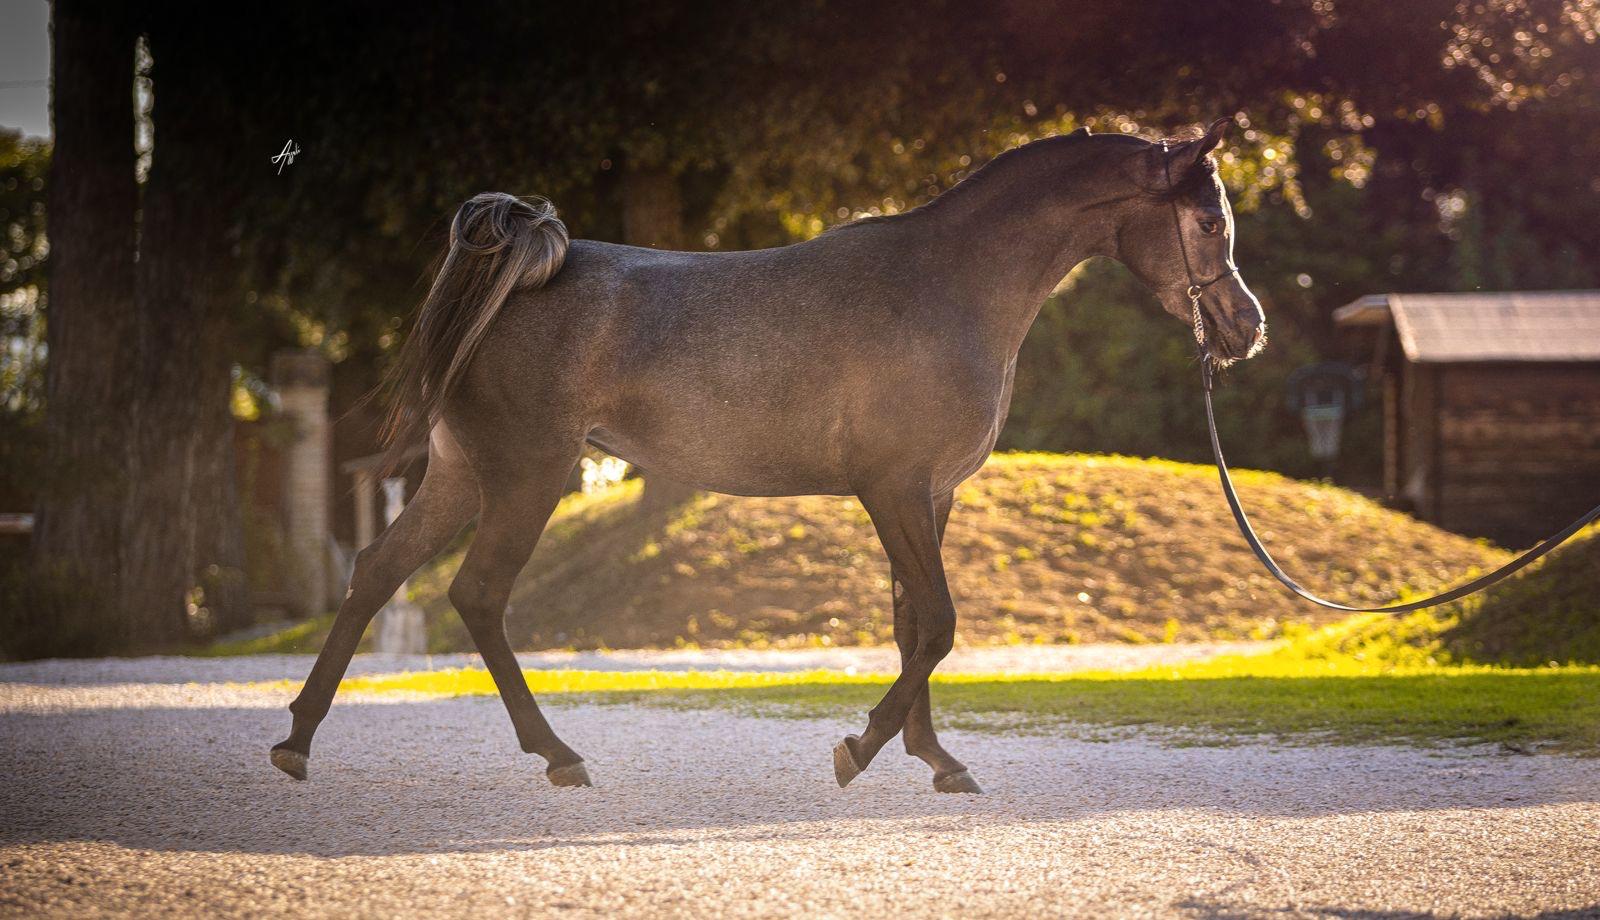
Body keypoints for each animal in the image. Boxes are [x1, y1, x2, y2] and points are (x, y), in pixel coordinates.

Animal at [272, 117, 1267, 794]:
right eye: (1208, 224)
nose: (1245, 327)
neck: (947, 284)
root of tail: (516, 276)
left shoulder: (930, 497)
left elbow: (913, 626)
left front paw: (936, 759)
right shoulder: (893, 490)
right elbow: (939, 625)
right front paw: (860, 749)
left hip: (460, 475)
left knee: (376, 572)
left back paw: (296, 740)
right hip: (527, 477)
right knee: (477, 595)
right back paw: (557, 755)